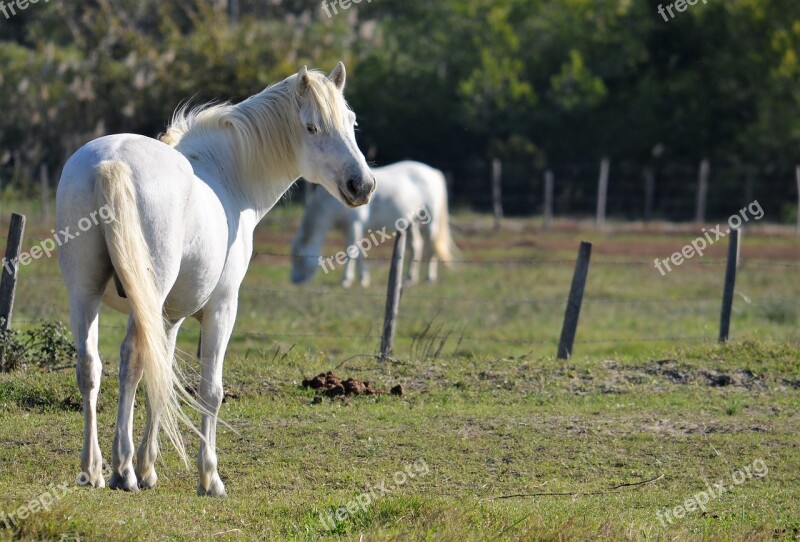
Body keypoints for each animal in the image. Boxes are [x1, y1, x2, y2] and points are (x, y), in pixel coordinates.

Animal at [56, 62, 376, 498]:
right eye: (312, 127)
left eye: (351, 121)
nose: (362, 185)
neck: (227, 174)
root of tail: (111, 163)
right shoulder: (222, 308)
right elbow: (210, 390)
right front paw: (209, 477)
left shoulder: (168, 317)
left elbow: (161, 379)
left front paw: (149, 468)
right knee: (130, 362)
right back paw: (122, 471)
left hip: (84, 294)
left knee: (90, 366)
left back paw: (94, 470)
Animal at [290, 162, 454, 288]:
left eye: (299, 258)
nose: (295, 281)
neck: (331, 202)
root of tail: (434, 173)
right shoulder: (351, 229)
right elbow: (359, 253)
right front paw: (364, 279)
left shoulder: (354, 225)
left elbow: (351, 252)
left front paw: (346, 280)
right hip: (411, 223)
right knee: (416, 246)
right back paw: (409, 278)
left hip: (431, 222)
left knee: (431, 247)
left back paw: (429, 278)